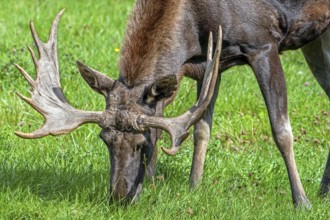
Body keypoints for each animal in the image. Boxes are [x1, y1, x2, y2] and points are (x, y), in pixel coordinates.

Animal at [15, 0, 330, 210]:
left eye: (143, 143)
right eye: (104, 138)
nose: (118, 197)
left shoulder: (262, 44)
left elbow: (281, 130)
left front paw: (301, 202)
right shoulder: (210, 62)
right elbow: (202, 130)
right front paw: (193, 188)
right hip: (315, 40)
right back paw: (324, 190)